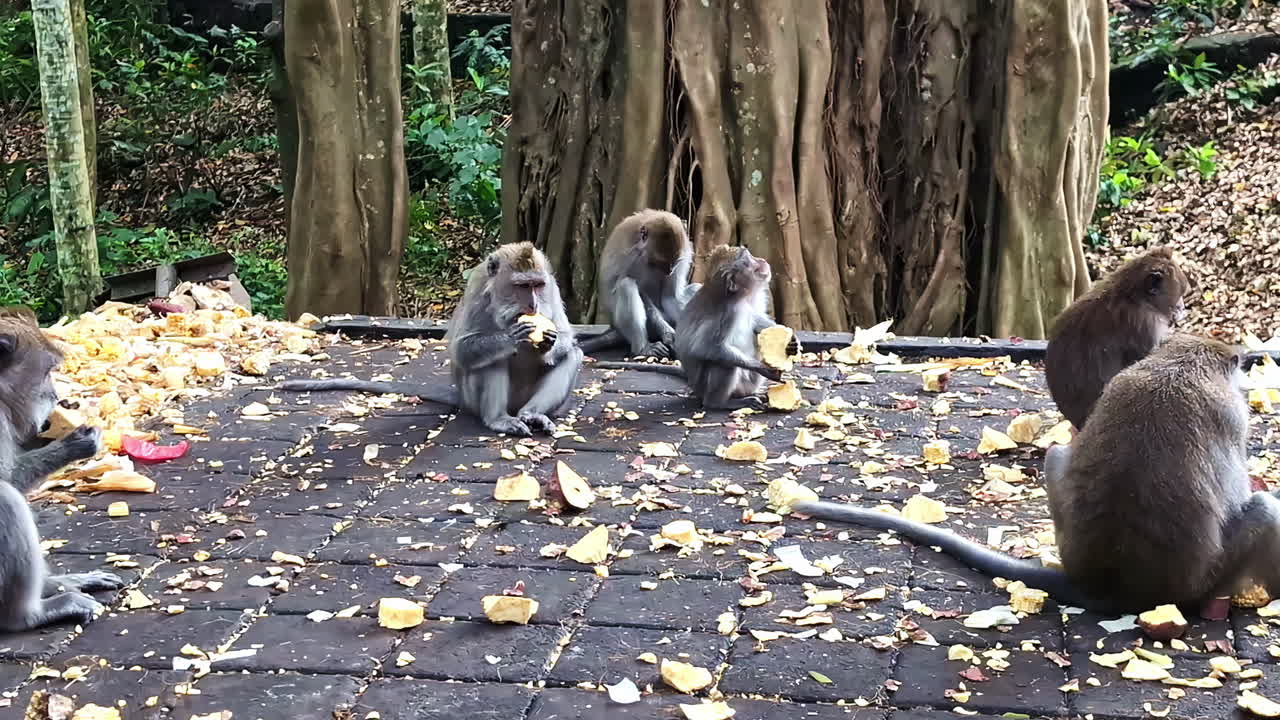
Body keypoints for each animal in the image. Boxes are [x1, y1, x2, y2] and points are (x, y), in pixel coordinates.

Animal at [0, 306, 124, 633]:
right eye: (46, 373)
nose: (57, 396)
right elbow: (7, 479)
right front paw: (74, 444)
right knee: (6, 499)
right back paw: (26, 615)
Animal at [278, 243, 582, 438]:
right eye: (522, 286)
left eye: (537, 285)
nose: (533, 305)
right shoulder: (477, 292)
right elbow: (462, 349)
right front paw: (512, 336)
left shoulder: (553, 288)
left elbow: (567, 337)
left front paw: (549, 341)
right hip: (473, 398)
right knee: (489, 361)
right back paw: (498, 419)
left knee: (572, 355)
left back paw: (533, 414)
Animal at [577, 210, 700, 359]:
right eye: (660, 262)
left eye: (674, 263)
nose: (670, 271)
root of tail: (613, 327)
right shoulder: (634, 258)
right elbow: (639, 290)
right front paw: (667, 333)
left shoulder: (685, 252)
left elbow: (670, 297)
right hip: (620, 323)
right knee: (626, 285)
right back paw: (643, 349)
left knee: (696, 289)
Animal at [794, 333, 1274, 616]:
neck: (1182, 361)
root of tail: (1115, 588)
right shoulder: (1233, 417)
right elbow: (1240, 492)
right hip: (1207, 580)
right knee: (1264, 509)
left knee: (1057, 455)